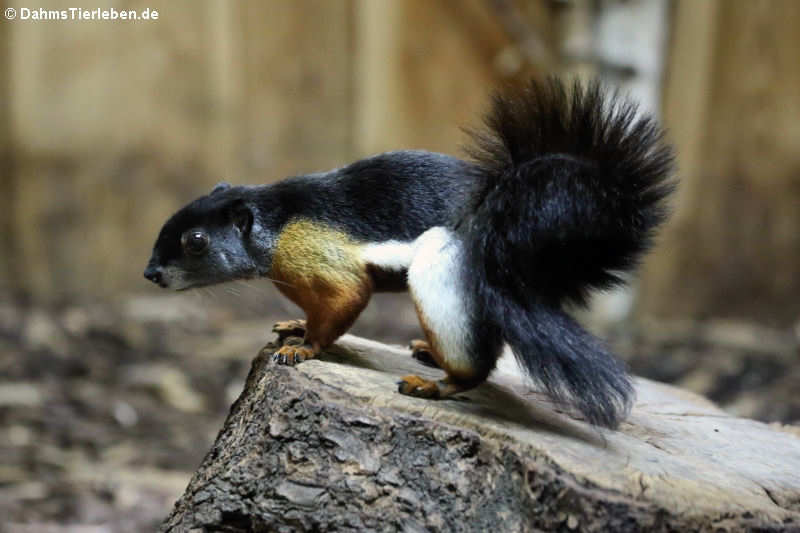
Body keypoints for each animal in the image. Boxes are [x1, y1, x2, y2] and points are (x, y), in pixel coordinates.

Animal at [144, 78, 676, 428]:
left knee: (477, 364)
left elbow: (343, 302)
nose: (151, 274)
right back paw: (427, 354)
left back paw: (438, 383)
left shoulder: (324, 261)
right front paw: (296, 325)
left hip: (444, 268)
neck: (275, 223)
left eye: (196, 242)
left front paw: (305, 347)